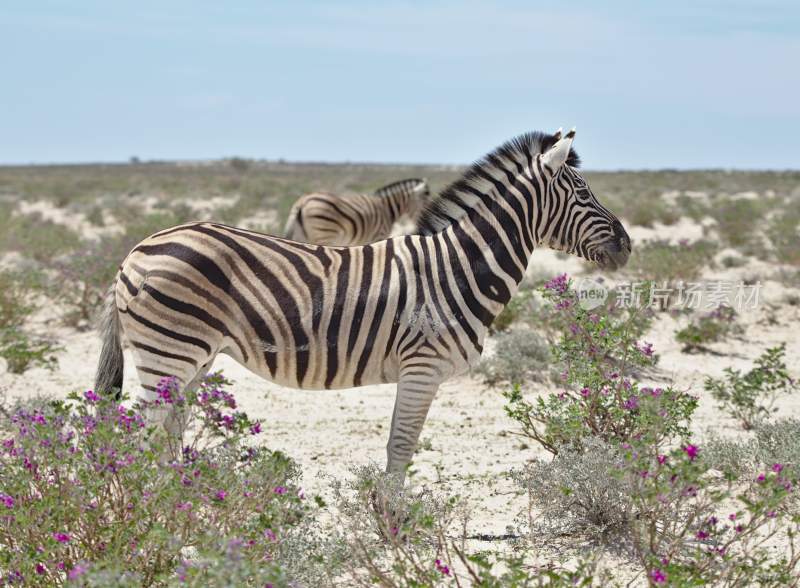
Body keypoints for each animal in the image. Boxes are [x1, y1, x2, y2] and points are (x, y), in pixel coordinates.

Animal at [282, 177, 432, 246]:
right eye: (426, 202)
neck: (387, 209)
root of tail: (302, 201)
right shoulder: (378, 236)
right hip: (324, 234)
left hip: (302, 235)